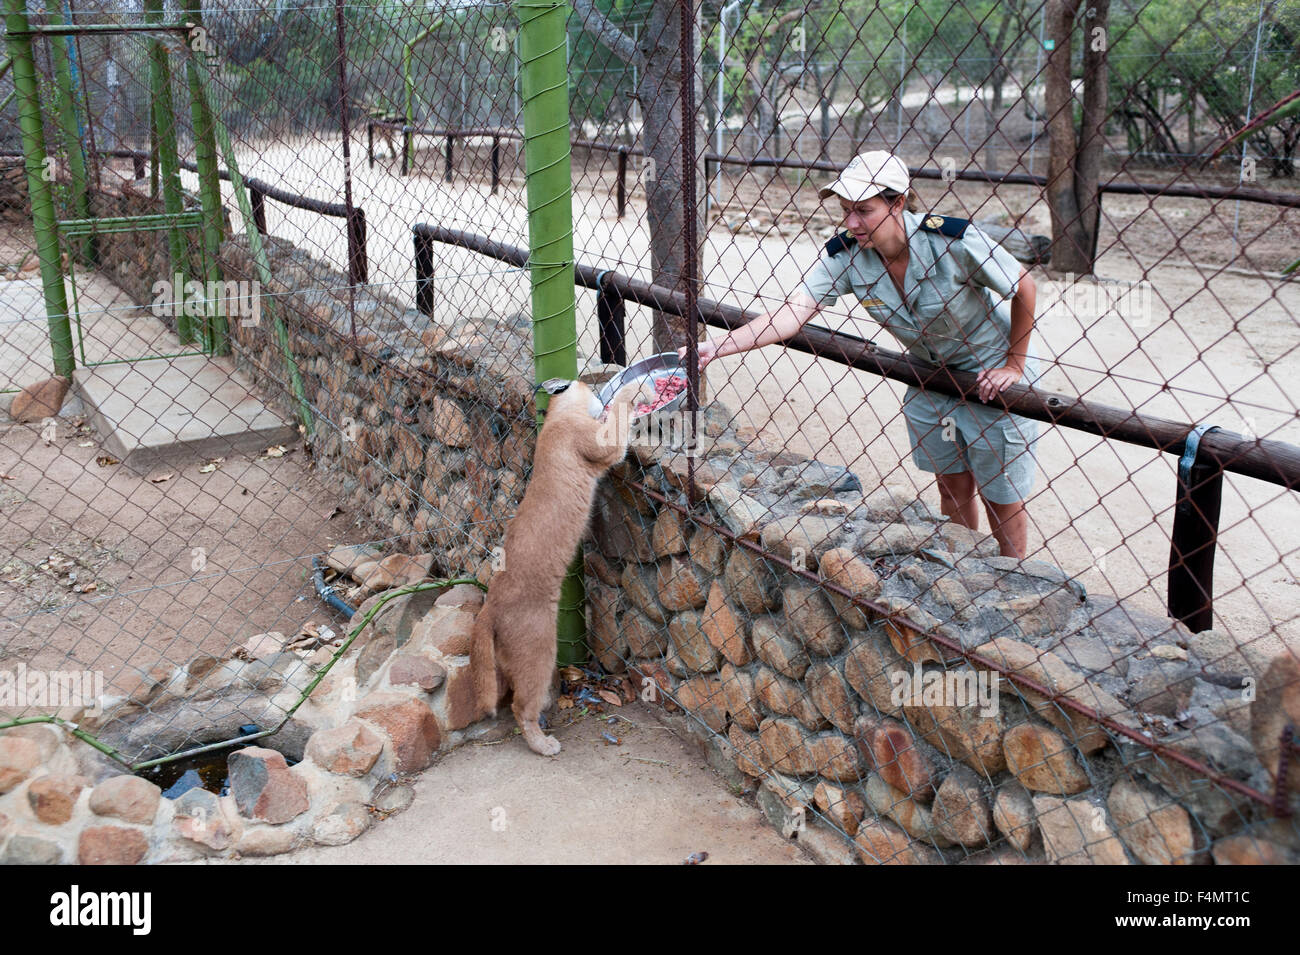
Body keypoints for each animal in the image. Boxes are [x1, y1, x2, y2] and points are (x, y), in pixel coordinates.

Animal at [470, 376, 647, 758]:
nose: (600, 396)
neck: (554, 419)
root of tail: (489, 606)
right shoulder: (602, 443)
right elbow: (618, 421)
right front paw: (635, 388)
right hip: (539, 649)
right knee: (521, 705)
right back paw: (543, 743)